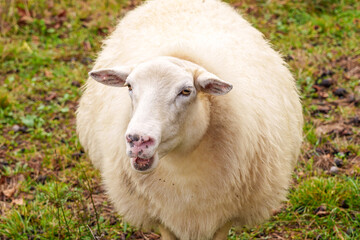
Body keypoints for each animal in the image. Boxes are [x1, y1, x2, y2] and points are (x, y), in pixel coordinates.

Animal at [76, 0, 304, 239]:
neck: (182, 169)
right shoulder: (162, 216)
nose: (138, 140)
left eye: (186, 91)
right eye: (129, 86)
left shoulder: (225, 215)